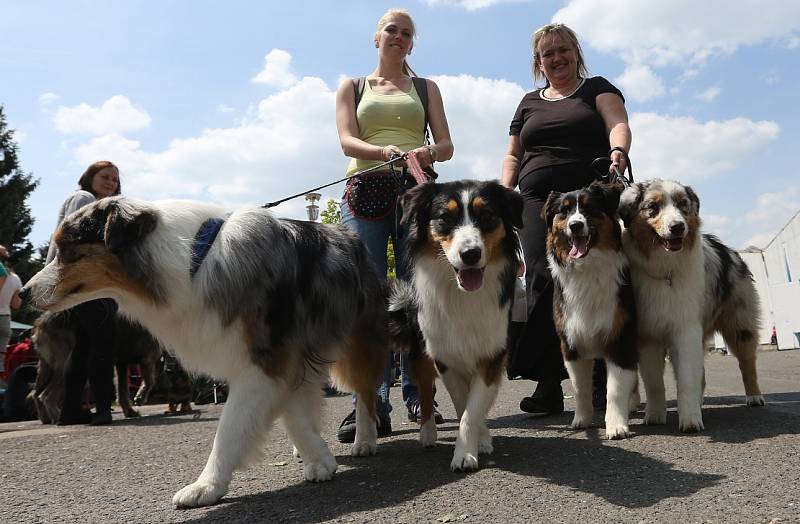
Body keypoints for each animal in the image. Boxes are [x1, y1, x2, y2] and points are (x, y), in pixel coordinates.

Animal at [30, 310, 164, 424]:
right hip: (64, 364)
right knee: (46, 395)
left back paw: (46, 419)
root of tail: (40, 324)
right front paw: (140, 398)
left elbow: (122, 391)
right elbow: (149, 381)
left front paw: (130, 411)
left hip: (46, 367)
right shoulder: (148, 358)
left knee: (36, 393)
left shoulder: (121, 364)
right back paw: (59, 418)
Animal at [390, 180, 524, 470]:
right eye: (445, 218)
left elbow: (474, 408)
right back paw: (428, 433)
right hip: (422, 351)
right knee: (425, 395)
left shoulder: (492, 354)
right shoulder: (444, 357)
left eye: (487, 215)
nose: (470, 254)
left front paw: (472, 447)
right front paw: (468, 449)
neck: (463, 294)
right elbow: (462, 404)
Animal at [544, 182, 636, 440]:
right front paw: (582, 420)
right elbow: (579, 387)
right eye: (564, 211)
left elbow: (615, 388)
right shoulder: (571, 342)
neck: (588, 268)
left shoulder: (620, 337)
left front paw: (616, 425)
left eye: (588, 208)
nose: (575, 225)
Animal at [616, 180, 764, 434]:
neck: (666, 269)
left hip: (740, 323)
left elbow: (687, 379)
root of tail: (729, 250)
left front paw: (691, 420)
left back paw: (754, 396)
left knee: (747, 362)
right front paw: (655, 415)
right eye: (653, 207)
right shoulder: (648, 335)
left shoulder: (685, 329)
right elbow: (654, 382)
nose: (677, 227)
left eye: (683, 204)